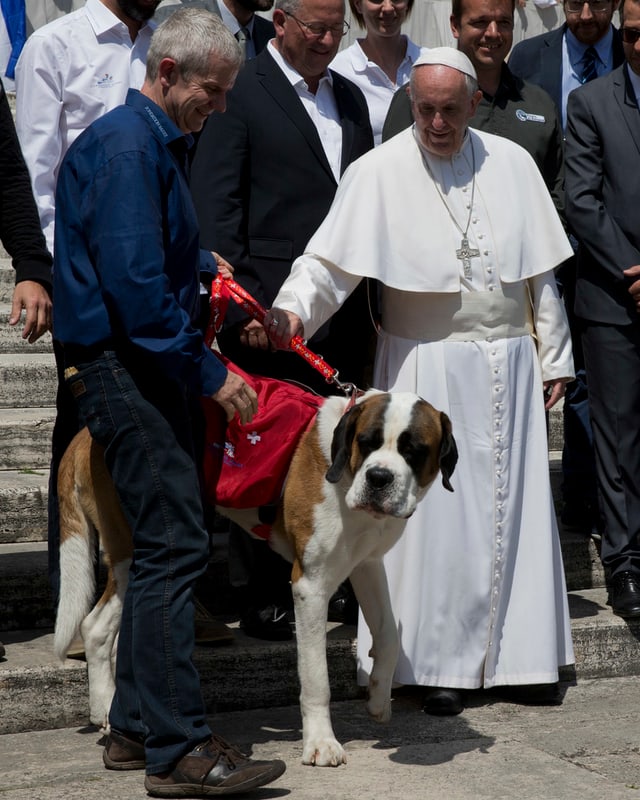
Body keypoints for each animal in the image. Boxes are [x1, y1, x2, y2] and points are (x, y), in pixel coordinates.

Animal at [53, 390, 456, 764]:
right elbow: (316, 678)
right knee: (96, 626)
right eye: (366, 442)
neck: (343, 468)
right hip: (133, 551)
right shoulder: (311, 586)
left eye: (413, 450)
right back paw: (107, 711)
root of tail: (85, 434)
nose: (378, 477)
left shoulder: (366, 564)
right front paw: (321, 743)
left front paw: (378, 699)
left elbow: (388, 636)